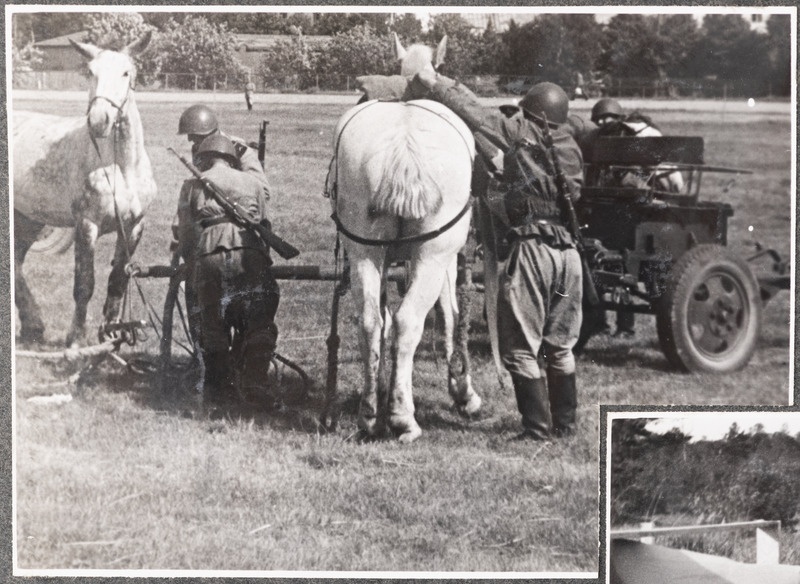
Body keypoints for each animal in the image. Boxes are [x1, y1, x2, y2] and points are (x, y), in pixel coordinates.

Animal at [12, 33, 155, 346]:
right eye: (90, 72)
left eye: (126, 73)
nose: (99, 121)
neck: (121, 167)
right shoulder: (87, 224)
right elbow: (84, 284)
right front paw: (76, 337)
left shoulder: (134, 226)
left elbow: (117, 281)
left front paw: (112, 336)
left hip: (28, 219)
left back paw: (33, 326)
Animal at [330, 36, 482, 442]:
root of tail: (404, 141)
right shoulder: (443, 259)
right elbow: (449, 319)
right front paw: (464, 394)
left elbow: (382, 320)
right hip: (434, 251)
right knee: (409, 320)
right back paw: (403, 417)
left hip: (364, 249)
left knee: (371, 321)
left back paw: (370, 414)